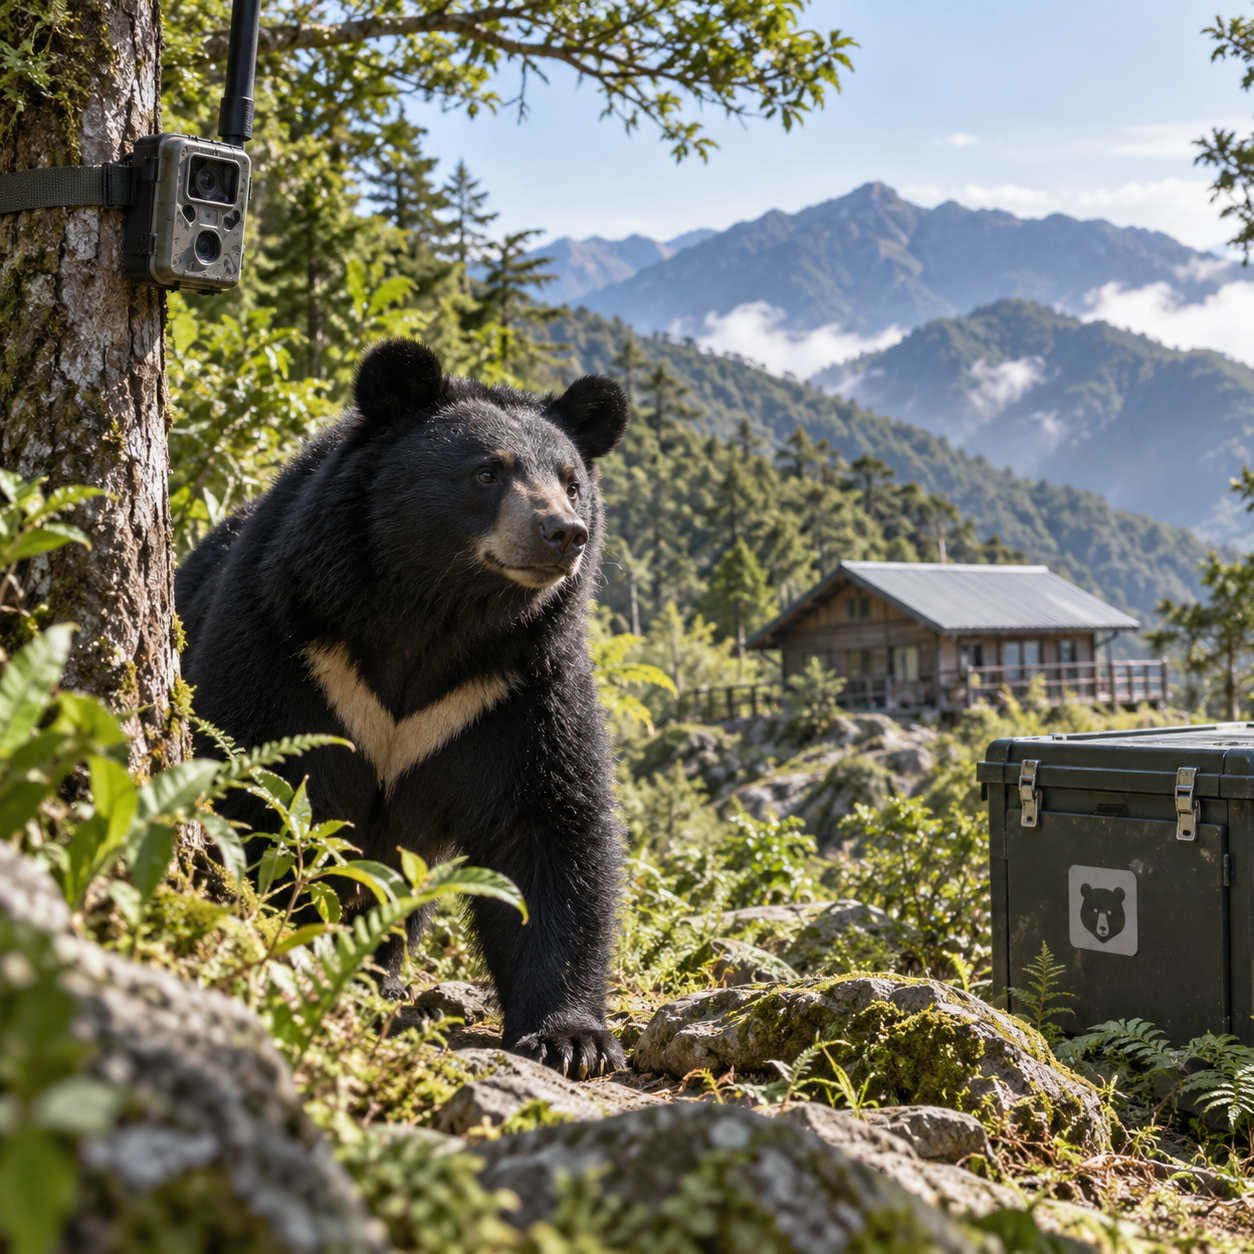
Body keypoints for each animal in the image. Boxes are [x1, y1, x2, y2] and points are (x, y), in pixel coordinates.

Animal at [176, 338, 630, 1077]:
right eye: (487, 472)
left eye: (570, 480)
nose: (564, 533)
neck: (433, 615)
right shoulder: (291, 642)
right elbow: (255, 781)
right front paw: (284, 942)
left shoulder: (514, 688)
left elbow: (549, 827)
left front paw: (572, 1040)